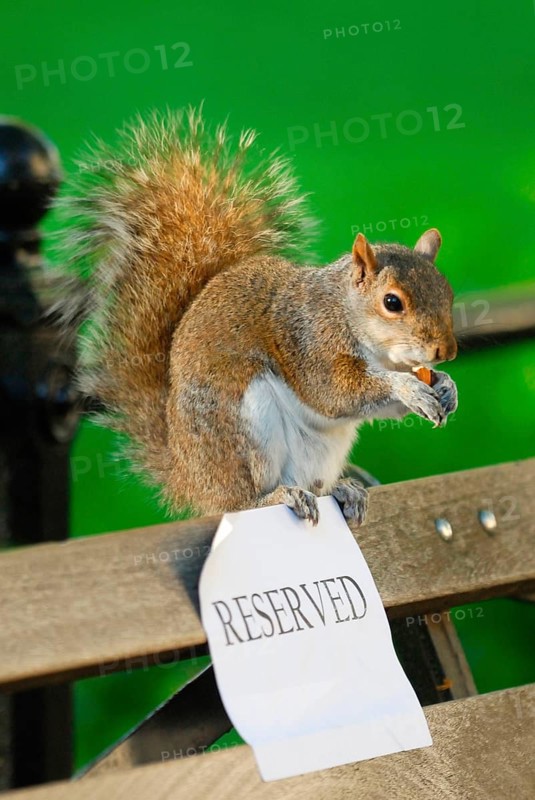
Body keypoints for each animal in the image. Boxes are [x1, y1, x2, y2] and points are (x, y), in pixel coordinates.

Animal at [55, 107, 458, 526]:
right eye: (392, 302)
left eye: (447, 292)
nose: (446, 352)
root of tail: (188, 477)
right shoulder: (308, 340)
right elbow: (335, 392)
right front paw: (408, 387)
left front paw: (446, 387)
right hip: (244, 424)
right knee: (240, 502)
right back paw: (277, 496)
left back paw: (343, 489)